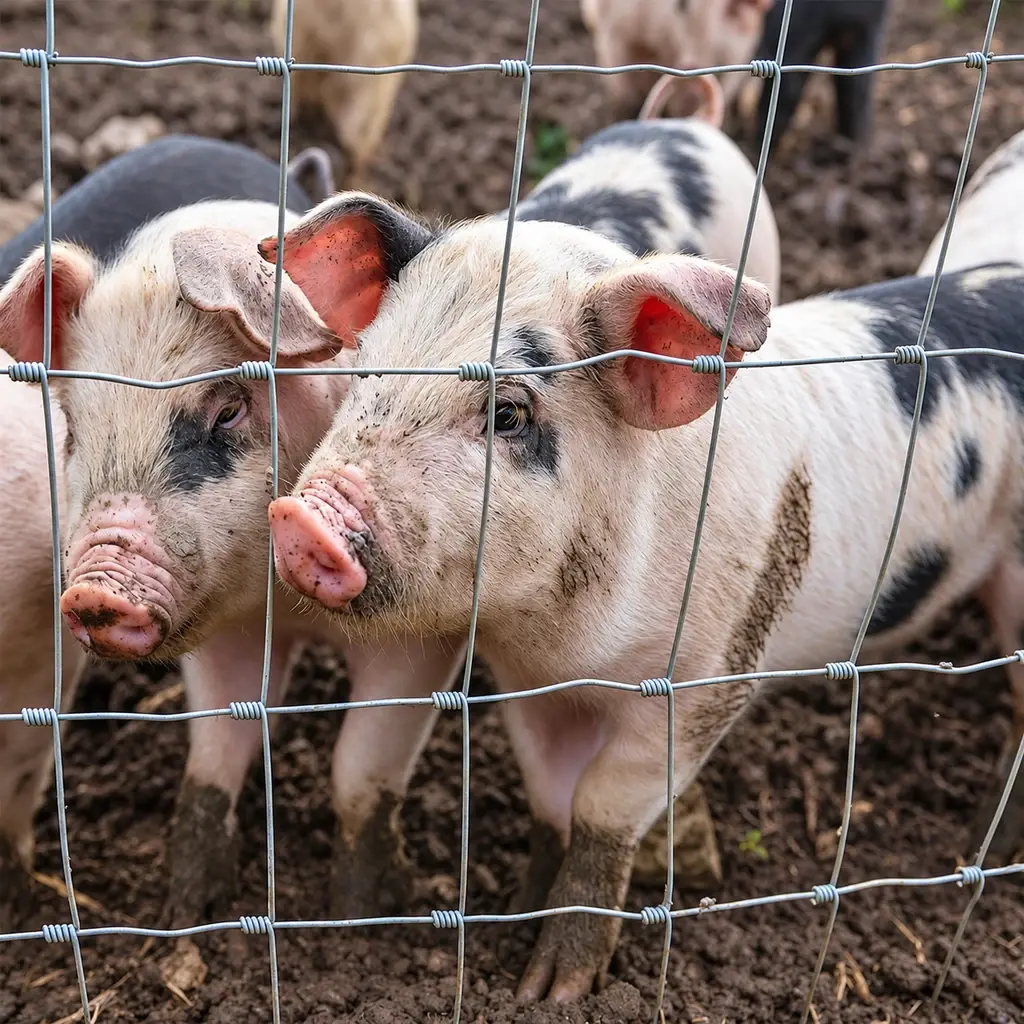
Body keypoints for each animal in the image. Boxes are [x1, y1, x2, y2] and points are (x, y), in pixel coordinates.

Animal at [0, 197, 465, 930]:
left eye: (226, 410)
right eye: (72, 427)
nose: (96, 590)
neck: (294, 613)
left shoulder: (424, 633)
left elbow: (361, 767)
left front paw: (359, 917)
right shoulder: (226, 629)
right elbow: (217, 749)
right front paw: (186, 915)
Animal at [265, 189, 1024, 1000]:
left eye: (508, 414)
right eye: (364, 373)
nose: (302, 518)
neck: (568, 637)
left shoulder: (705, 679)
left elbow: (603, 808)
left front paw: (557, 990)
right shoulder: (527, 680)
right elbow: (552, 795)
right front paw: (520, 923)